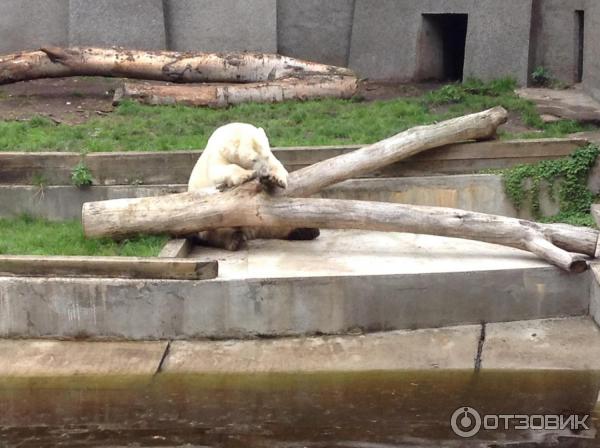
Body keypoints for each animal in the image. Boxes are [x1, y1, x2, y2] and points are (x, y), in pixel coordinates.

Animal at [188, 122, 318, 250]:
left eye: (266, 156)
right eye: (253, 159)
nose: (264, 173)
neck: (234, 131)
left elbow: (277, 165)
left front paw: (276, 179)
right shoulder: (218, 154)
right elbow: (218, 170)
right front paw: (246, 175)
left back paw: (307, 231)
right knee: (215, 228)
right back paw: (233, 240)